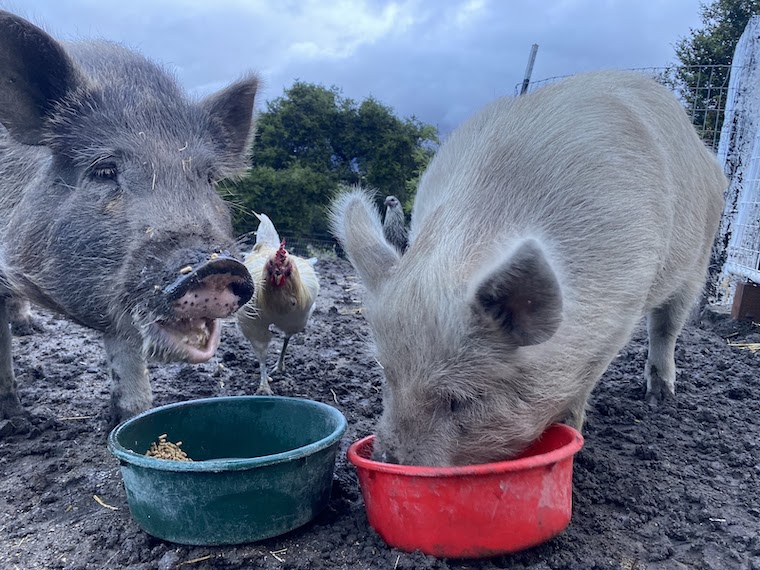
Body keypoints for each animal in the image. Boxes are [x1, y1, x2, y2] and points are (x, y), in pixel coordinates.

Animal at [0, 11, 258, 425]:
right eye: (105, 170)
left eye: (208, 178)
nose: (217, 268)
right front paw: (20, 421)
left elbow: (128, 365)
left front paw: (125, 419)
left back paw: (30, 328)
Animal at [330, 71, 727, 467]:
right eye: (387, 374)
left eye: (460, 400)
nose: (385, 459)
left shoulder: (619, 314)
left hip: (698, 258)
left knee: (667, 325)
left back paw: (659, 397)